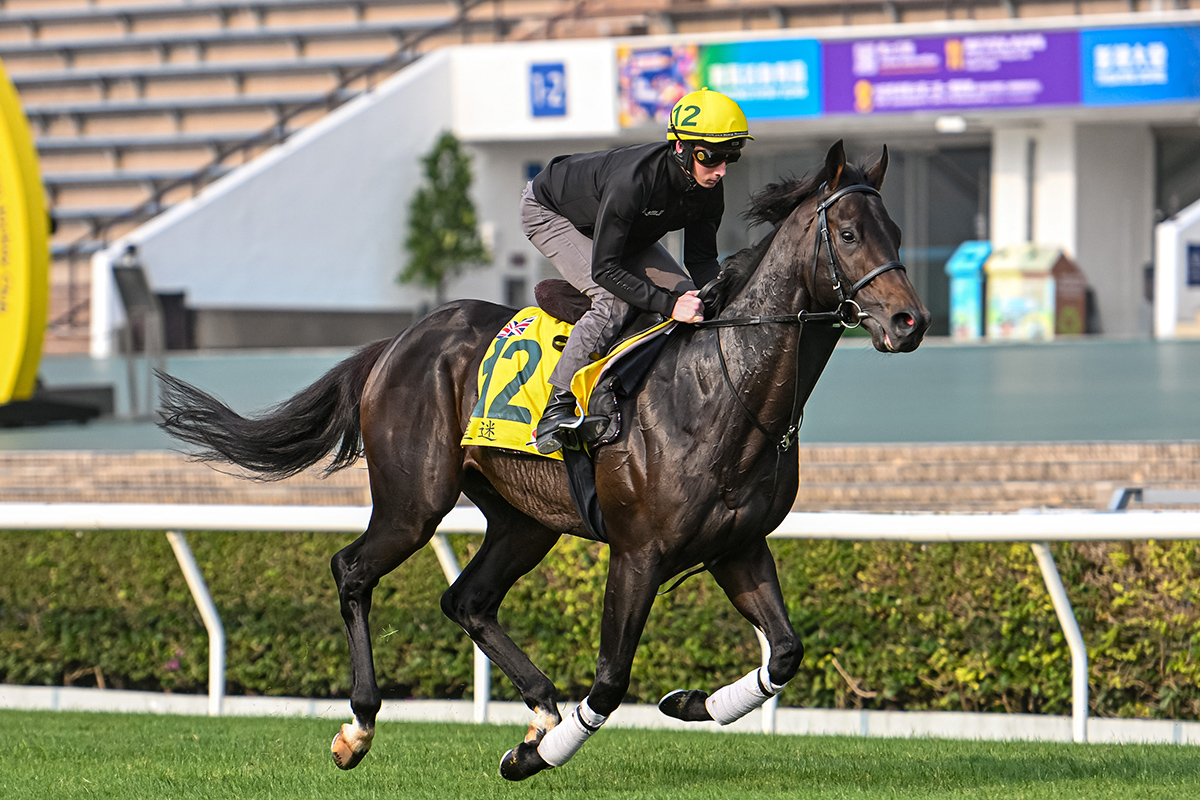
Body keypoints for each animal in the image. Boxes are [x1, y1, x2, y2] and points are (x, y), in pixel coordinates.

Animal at [157, 140, 926, 777]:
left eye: (896, 233)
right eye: (849, 234)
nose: (909, 322)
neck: (721, 386)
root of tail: (397, 342)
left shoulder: (738, 544)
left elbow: (786, 652)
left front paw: (687, 703)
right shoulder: (639, 552)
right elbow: (611, 681)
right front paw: (533, 760)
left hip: (525, 519)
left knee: (466, 599)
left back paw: (540, 708)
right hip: (414, 501)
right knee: (352, 571)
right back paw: (362, 727)